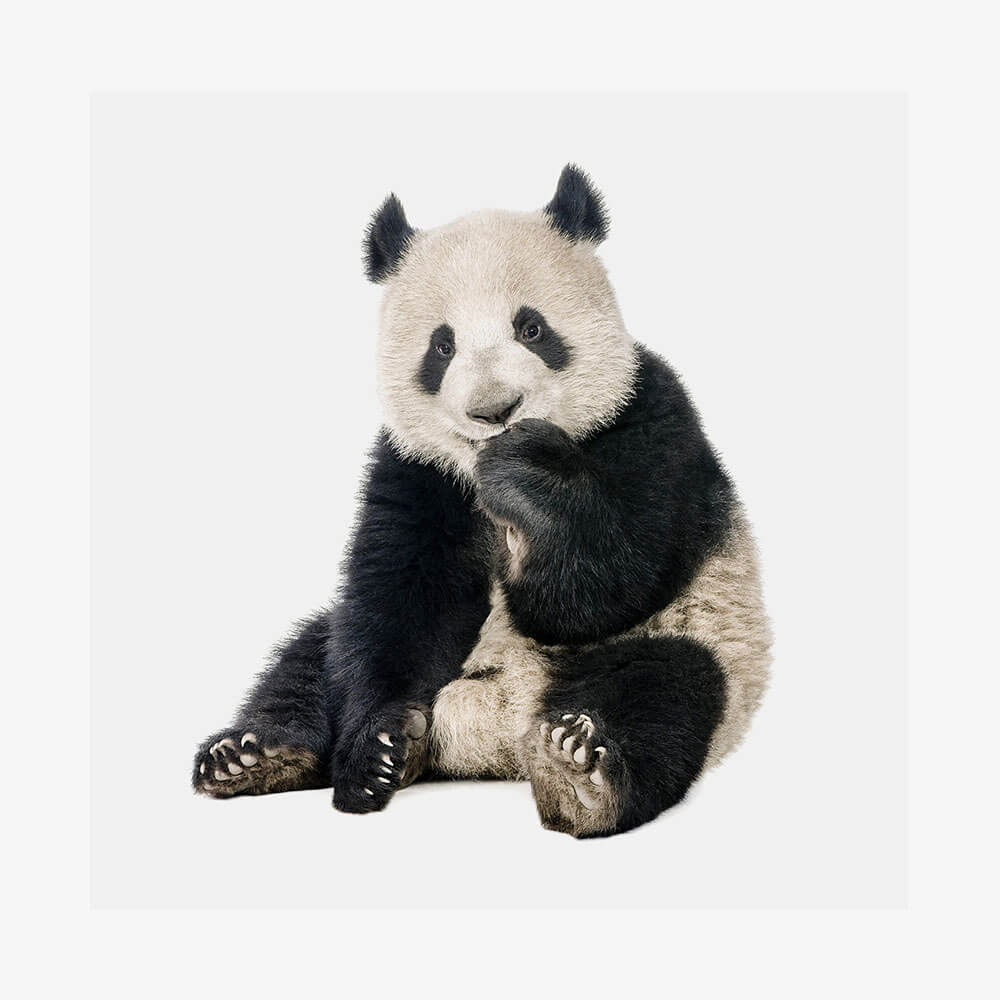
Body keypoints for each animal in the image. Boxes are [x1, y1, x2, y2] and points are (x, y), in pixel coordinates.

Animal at [192, 164, 772, 838]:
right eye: (441, 347)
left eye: (532, 328)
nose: (495, 411)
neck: (478, 470)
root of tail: (493, 734)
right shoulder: (418, 470)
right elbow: (400, 599)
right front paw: (375, 752)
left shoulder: (650, 418)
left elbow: (604, 585)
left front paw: (527, 480)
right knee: (312, 657)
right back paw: (256, 754)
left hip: (702, 638)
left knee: (664, 691)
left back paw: (580, 774)